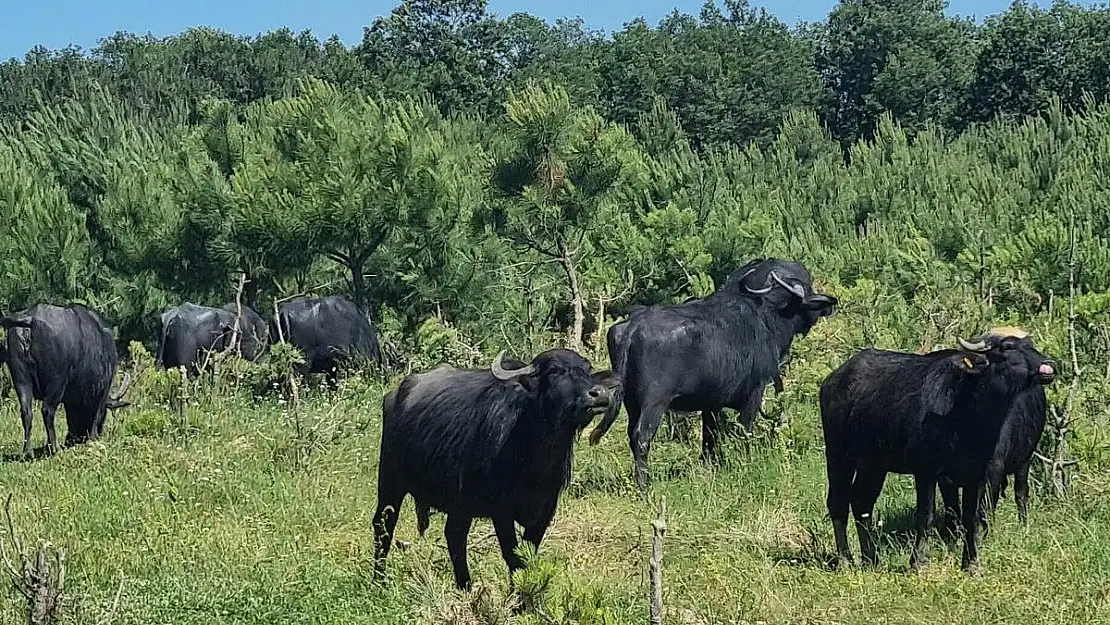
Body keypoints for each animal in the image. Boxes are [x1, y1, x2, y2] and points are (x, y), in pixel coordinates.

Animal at [1, 301, 132, 455]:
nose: (77, 437)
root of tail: (30, 320)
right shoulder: (100, 390)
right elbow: (94, 414)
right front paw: (92, 437)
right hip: (56, 383)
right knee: (47, 411)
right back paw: (54, 447)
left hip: (21, 378)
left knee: (26, 412)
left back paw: (28, 452)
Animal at [370, 350, 617, 590]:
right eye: (555, 370)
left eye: (587, 370)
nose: (599, 394)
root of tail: (396, 394)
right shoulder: (501, 511)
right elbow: (513, 557)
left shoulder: (545, 509)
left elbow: (528, 555)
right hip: (390, 481)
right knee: (384, 525)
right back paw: (379, 581)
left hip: (460, 504)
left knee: (454, 535)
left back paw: (465, 586)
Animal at [590, 256, 834, 490]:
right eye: (807, 284)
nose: (827, 305)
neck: (765, 314)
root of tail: (632, 328)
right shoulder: (754, 394)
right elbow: (745, 430)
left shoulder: (711, 405)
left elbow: (709, 436)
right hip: (654, 402)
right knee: (641, 436)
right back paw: (644, 485)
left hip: (630, 402)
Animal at [821, 330, 1052, 572]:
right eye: (1006, 347)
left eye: (1030, 344)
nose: (1049, 366)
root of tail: (832, 381)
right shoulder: (927, 471)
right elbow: (926, 515)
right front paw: (919, 562)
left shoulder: (978, 474)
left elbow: (971, 518)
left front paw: (971, 564)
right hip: (839, 455)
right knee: (838, 502)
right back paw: (845, 559)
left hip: (873, 464)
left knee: (861, 502)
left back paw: (871, 559)